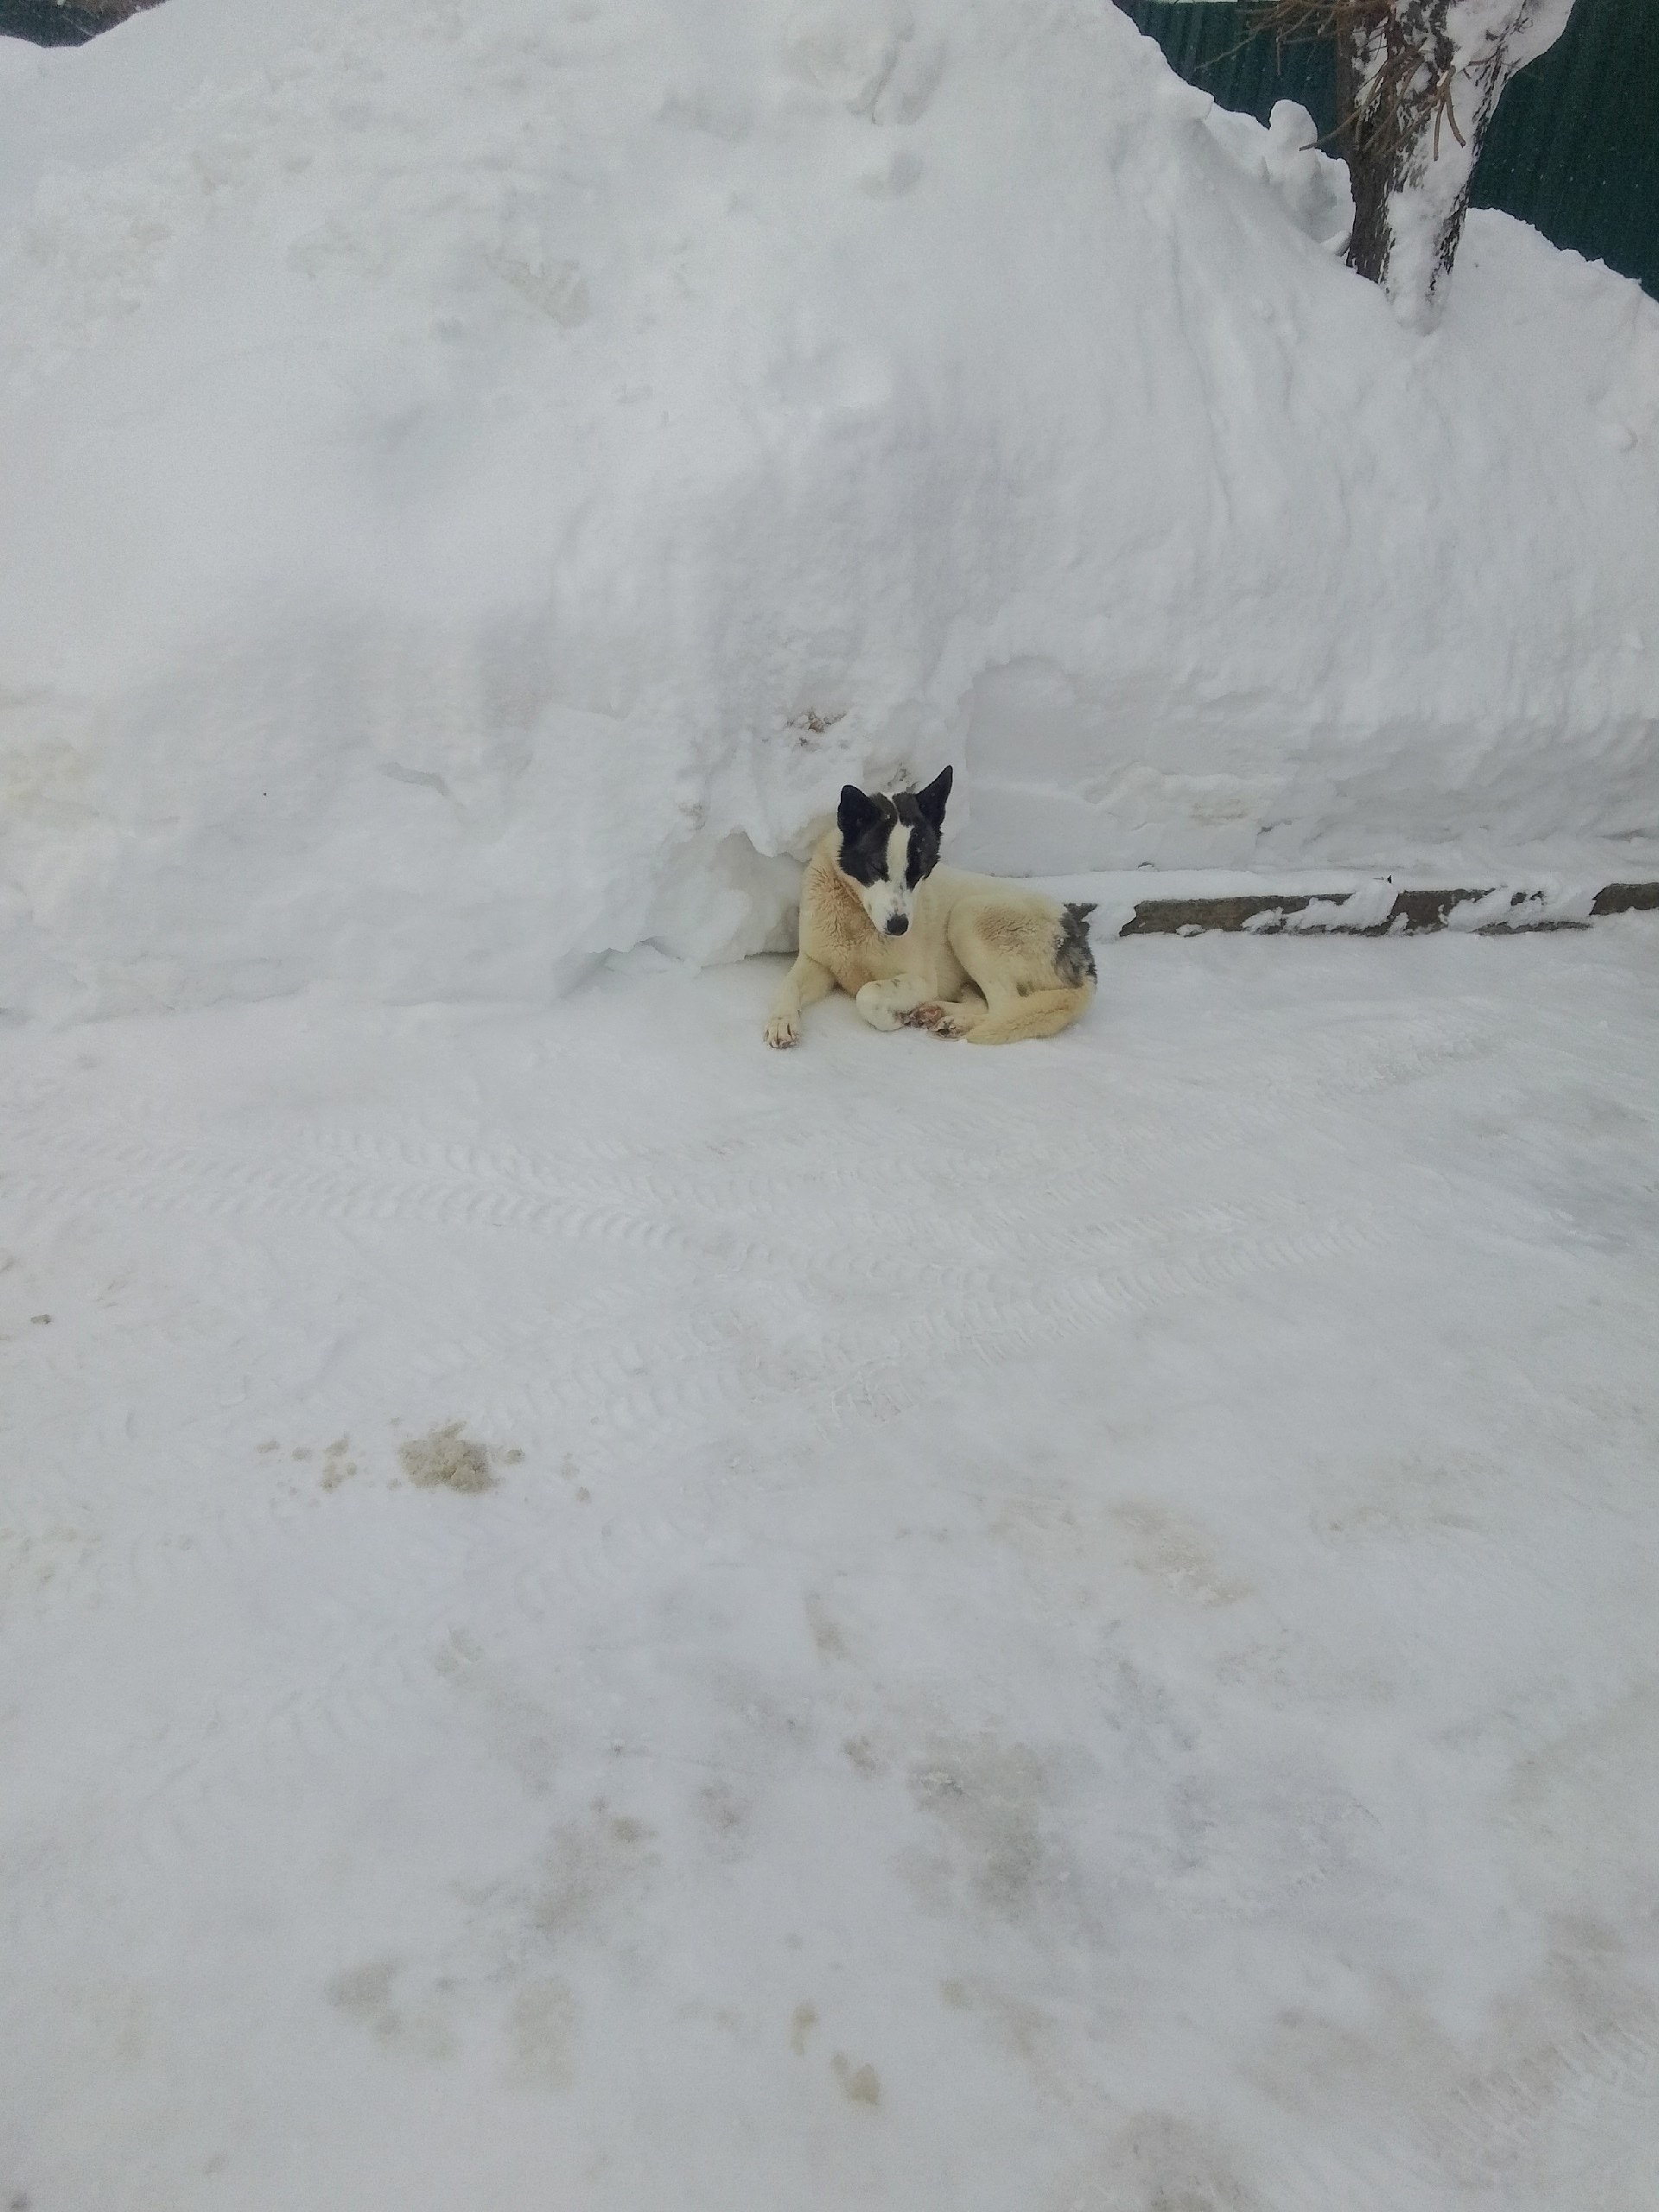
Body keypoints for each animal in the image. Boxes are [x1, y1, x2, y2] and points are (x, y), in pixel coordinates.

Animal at [764, 766, 1096, 1048]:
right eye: (876, 867)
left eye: (919, 871)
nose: (899, 926)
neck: (856, 920)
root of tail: (1081, 948)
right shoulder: (816, 963)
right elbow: (787, 986)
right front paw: (782, 1021)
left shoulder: (922, 980)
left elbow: (867, 993)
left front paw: (893, 1019)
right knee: (984, 1001)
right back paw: (937, 1013)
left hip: (968, 916)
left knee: (1006, 1006)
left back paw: (954, 1022)